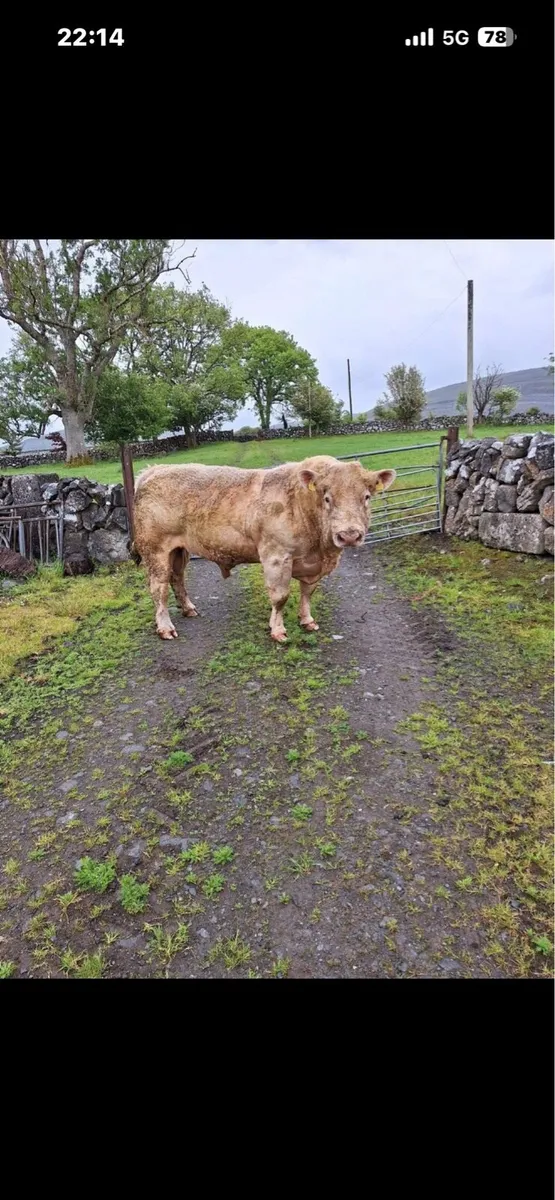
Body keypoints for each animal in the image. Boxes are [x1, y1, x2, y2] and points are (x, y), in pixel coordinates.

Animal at [132, 455, 396, 642]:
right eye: (327, 498)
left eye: (366, 497)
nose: (349, 535)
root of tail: (155, 469)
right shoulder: (276, 556)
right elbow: (280, 597)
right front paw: (278, 630)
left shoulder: (312, 565)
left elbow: (307, 592)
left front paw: (307, 620)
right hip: (156, 550)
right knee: (159, 589)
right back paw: (165, 628)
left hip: (179, 550)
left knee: (177, 578)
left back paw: (188, 609)